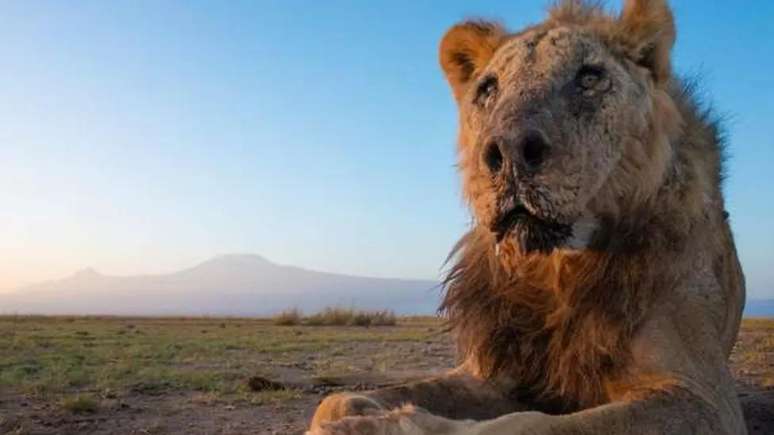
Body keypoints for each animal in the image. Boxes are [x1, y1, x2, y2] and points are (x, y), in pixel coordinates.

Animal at [310, 0, 752, 435]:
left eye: (589, 77)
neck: (554, 269)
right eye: (488, 88)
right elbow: (337, 400)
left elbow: (525, 425)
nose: (508, 152)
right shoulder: (493, 371)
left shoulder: (703, 397)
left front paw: (394, 424)